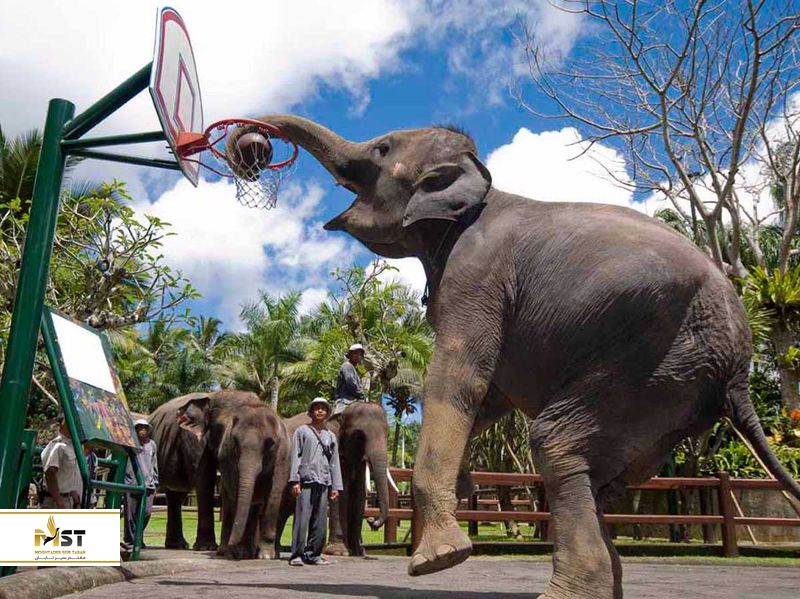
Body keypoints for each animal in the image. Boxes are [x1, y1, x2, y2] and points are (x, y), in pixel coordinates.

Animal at [276, 401, 390, 557]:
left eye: (388, 434)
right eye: (359, 436)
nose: (372, 521)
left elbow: (359, 495)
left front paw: (359, 552)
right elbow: (341, 493)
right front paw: (339, 552)